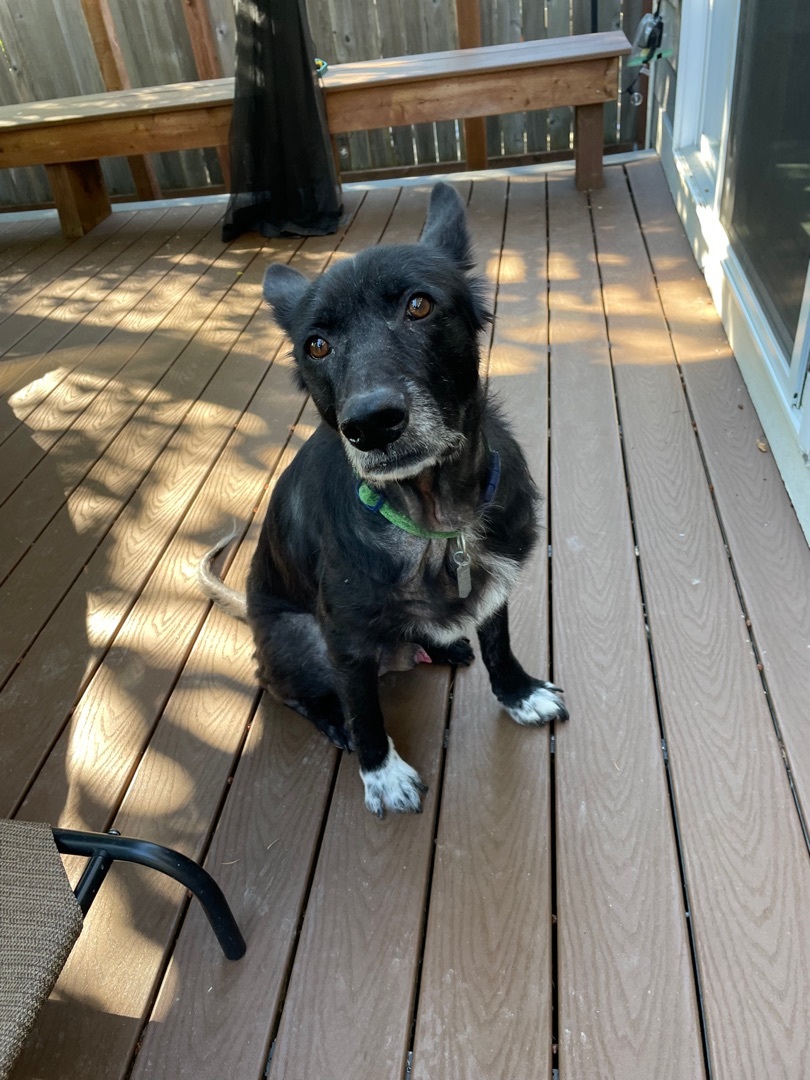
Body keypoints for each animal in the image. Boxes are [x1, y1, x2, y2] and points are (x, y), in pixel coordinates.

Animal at [198, 181, 565, 812]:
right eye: (316, 345)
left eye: (419, 306)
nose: (370, 425)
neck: (435, 521)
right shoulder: (342, 640)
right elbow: (366, 709)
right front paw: (381, 772)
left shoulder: (494, 583)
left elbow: (498, 644)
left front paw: (518, 693)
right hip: (298, 637)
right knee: (289, 687)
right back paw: (335, 718)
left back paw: (444, 647)